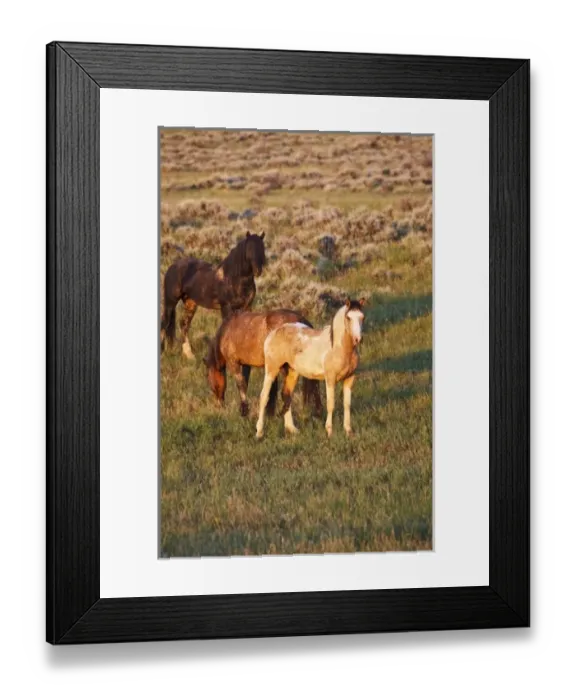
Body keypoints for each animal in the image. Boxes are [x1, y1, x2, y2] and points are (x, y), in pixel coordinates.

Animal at [256, 298, 366, 439]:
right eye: (348, 317)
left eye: (362, 317)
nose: (358, 339)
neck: (338, 348)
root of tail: (273, 333)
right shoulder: (330, 379)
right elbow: (331, 404)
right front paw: (329, 432)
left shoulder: (350, 379)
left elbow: (347, 405)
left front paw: (348, 431)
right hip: (271, 369)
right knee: (264, 397)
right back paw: (259, 432)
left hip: (292, 372)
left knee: (286, 395)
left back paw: (292, 429)